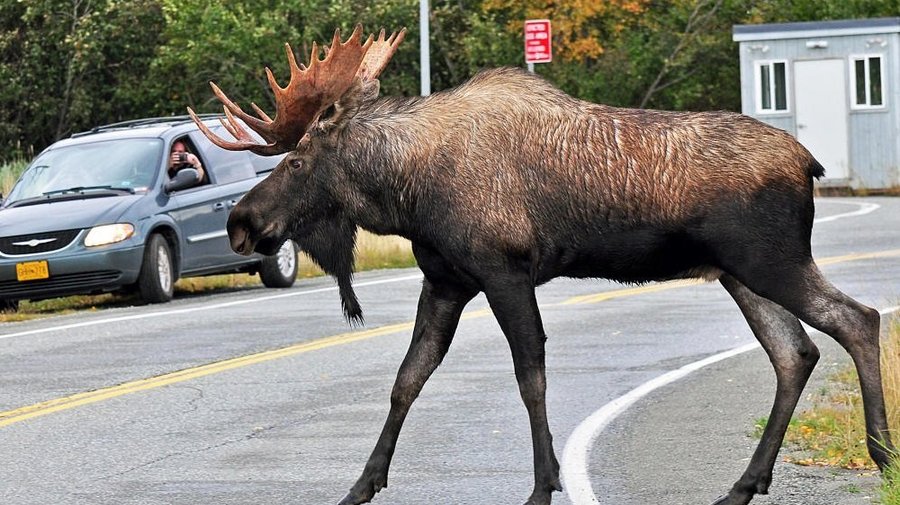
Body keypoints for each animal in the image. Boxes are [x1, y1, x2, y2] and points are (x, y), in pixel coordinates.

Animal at [188, 26, 895, 505]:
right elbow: (406, 379)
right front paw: (361, 485)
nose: (240, 223)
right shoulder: (446, 281)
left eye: (296, 160)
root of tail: (810, 164)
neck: (405, 193)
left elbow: (530, 376)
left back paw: (881, 454)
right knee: (795, 353)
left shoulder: (504, 270)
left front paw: (541, 485)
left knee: (856, 319)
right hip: (740, 275)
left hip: (771, 261)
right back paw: (743, 485)